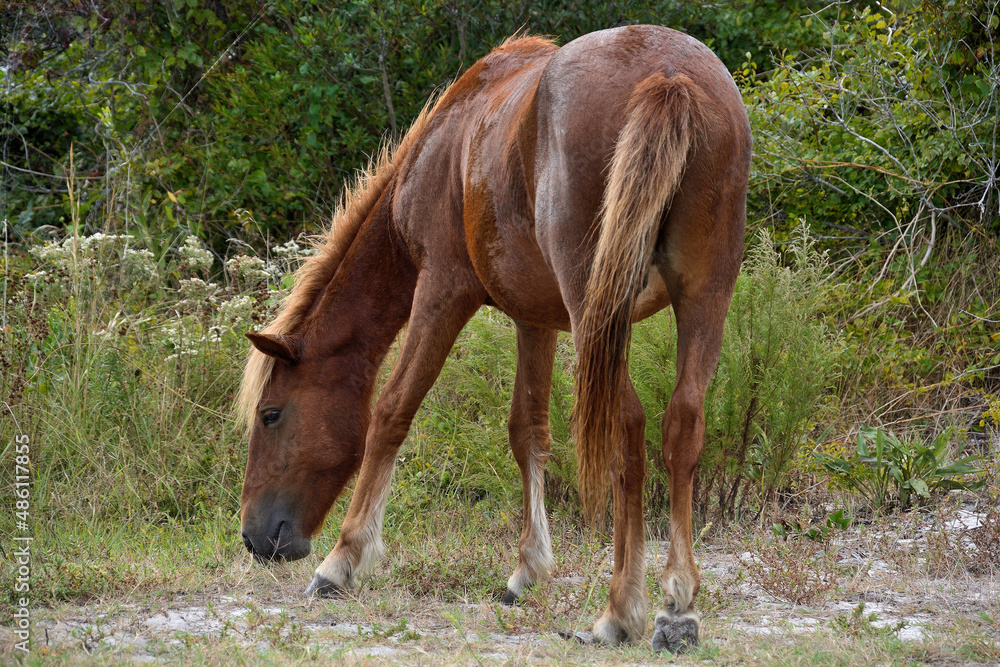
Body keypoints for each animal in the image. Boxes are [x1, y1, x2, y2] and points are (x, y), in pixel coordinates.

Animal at [237, 25, 751, 652]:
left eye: (271, 415)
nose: (255, 538)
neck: (446, 147)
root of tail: (670, 75)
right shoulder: (536, 321)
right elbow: (528, 432)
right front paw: (527, 570)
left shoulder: (441, 291)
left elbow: (392, 412)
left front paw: (343, 561)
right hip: (704, 296)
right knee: (683, 423)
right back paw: (677, 607)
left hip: (598, 317)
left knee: (627, 423)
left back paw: (619, 611)